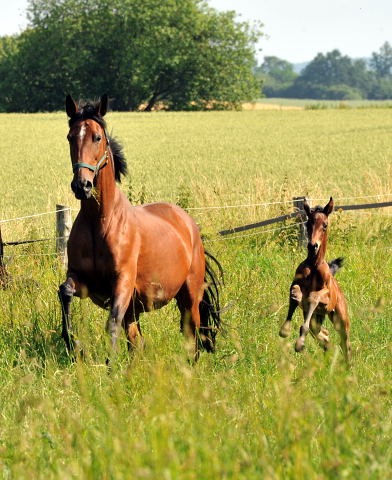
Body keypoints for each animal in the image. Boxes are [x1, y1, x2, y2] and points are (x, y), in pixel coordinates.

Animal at [58, 94, 224, 360]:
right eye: (70, 137)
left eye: (97, 137)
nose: (81, 185)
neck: (99, 223)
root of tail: (189, 225)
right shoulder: (80, 278)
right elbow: (64, 292)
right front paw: (73, 344)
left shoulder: (122, 282)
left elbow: (112, 323)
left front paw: (109, 363)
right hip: (138, 307)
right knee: (138, 341)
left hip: (189, 294)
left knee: (193, 332)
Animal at [278, 198, 352, 364]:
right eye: (308, 223)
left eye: (325, 225)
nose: (312, 246)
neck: (314, 266)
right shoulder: (295, 283)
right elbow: (295, 294)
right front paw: (285, 330)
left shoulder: (325, 297)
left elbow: (314, 296)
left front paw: (299, 343)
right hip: (317, 319)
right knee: (324, 334)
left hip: (340, 318)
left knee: (345, 342)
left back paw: (347, 366)